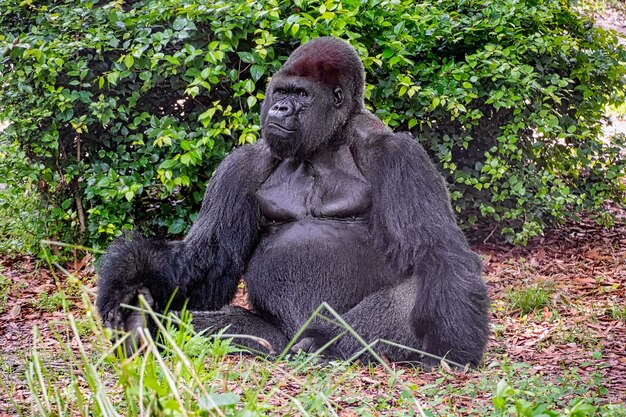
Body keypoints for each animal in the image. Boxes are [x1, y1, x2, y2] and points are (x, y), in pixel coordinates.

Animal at [96, 36, 488, 368]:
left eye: (301, 94)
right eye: (281, 91)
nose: (281, 108)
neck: (325, 144)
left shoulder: (399, 155)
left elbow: (436, 249)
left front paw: (455, 346)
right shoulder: (241, 165)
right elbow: (209, 258)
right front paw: (128, 279)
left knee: (416, 289)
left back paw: (326, 343)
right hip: (275, 339)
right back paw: (144, 328)